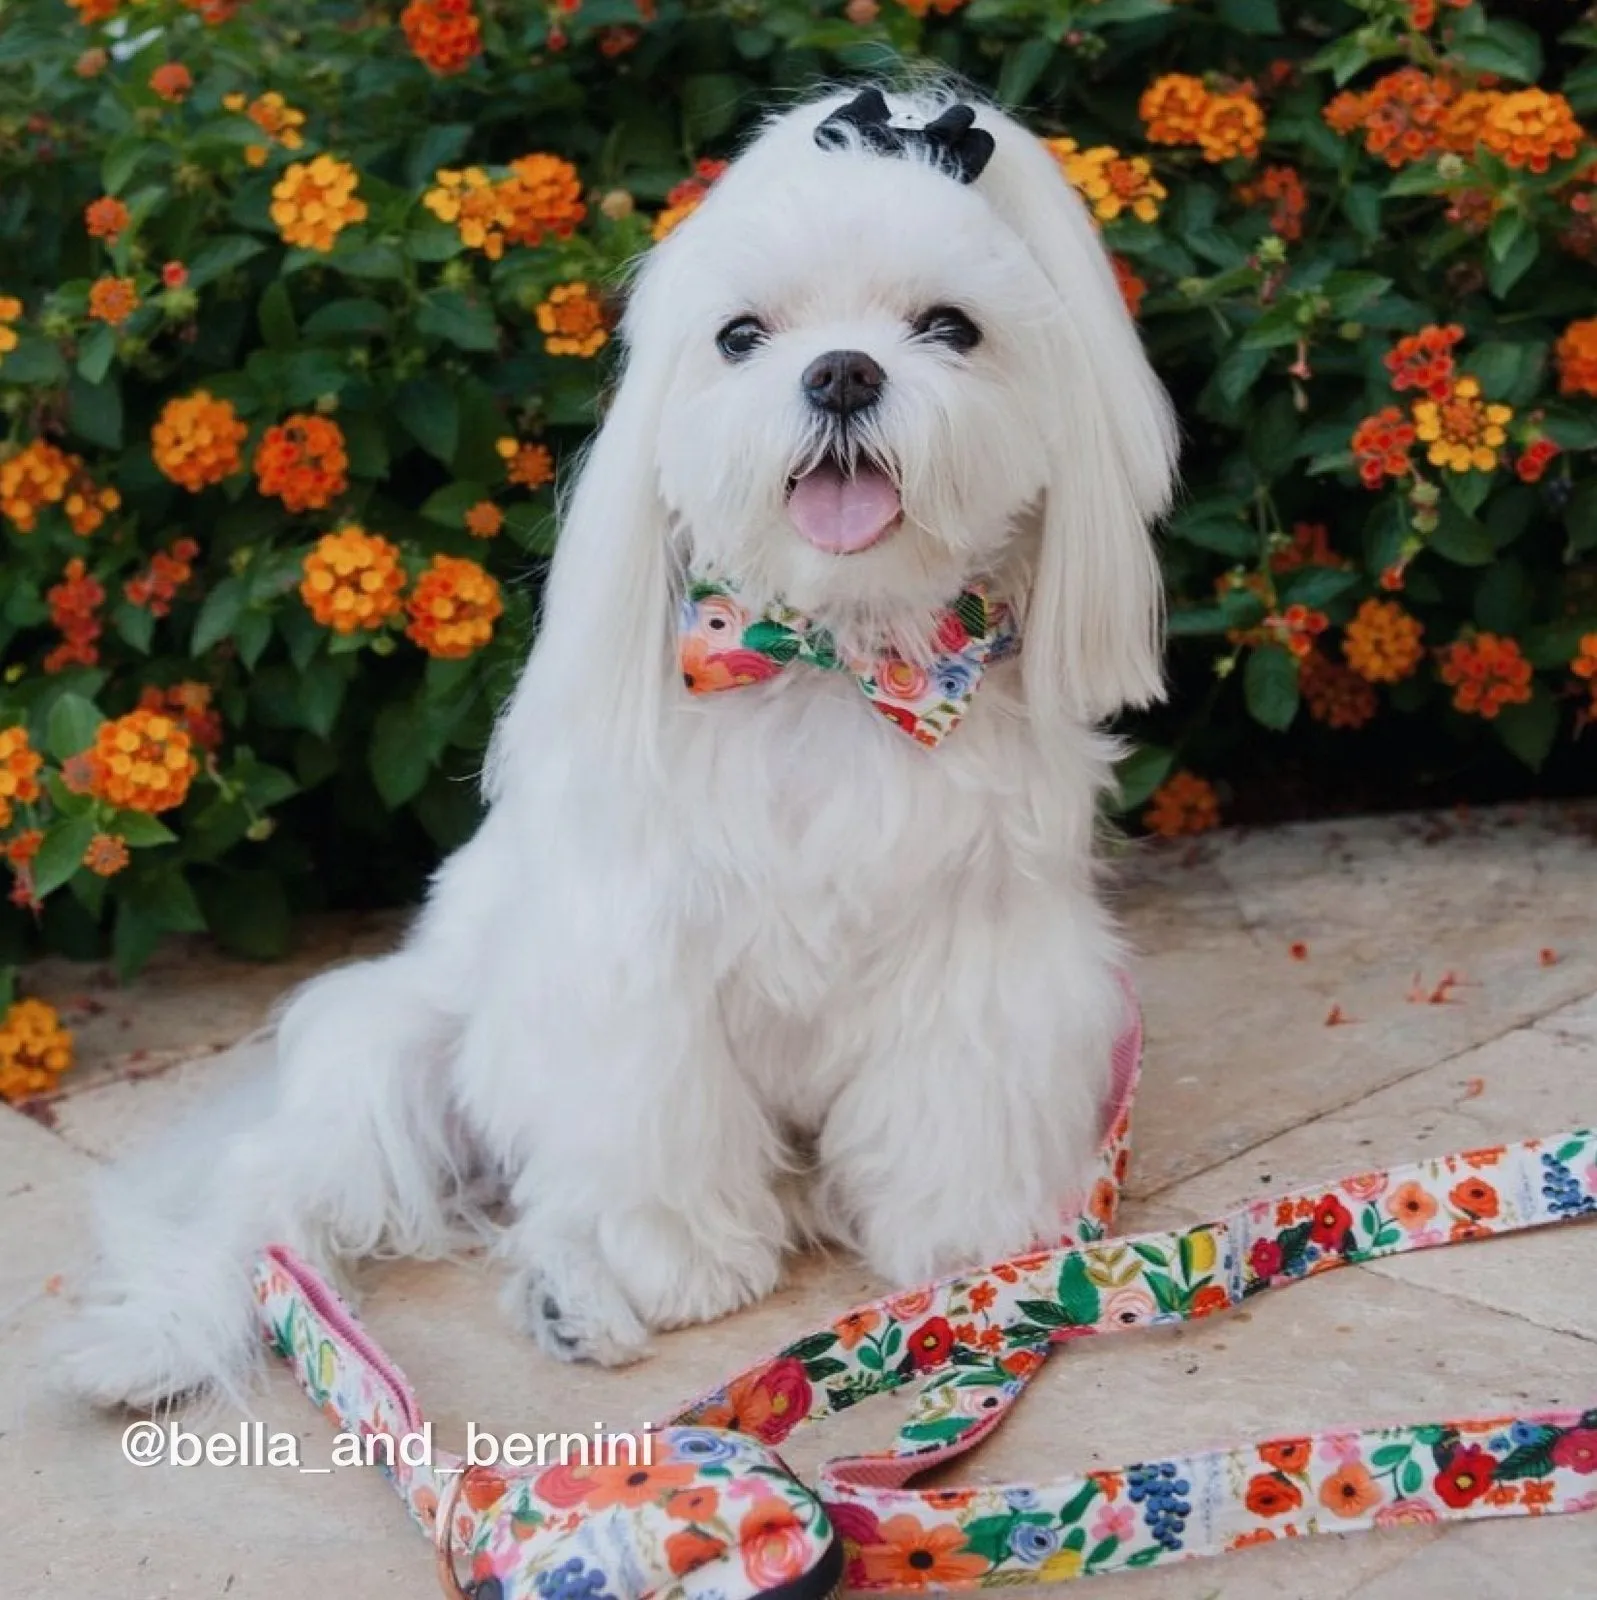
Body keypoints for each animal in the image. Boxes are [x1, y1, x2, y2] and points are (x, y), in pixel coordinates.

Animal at [62, 90, 1184, 1414]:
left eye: (949, 327)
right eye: (741, 335)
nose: (841, 371)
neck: (826, 663)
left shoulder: (979, 950)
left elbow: (952, 1103)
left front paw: (971, 1247)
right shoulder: (637, 959)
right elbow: (653, 1121)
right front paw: (675, 1265)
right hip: (397, 1053)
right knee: (287, 1194)